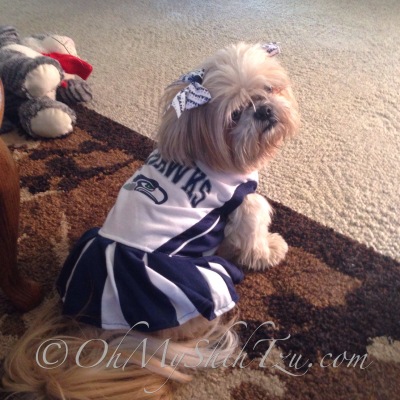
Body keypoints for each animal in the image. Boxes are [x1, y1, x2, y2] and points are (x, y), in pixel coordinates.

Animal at [1, 42, 298, 398]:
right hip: (209, 285)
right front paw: (270, 250)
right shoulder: (242, 202)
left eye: (268, 89)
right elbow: (254, 235)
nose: (264, 110)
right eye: (236, 115)